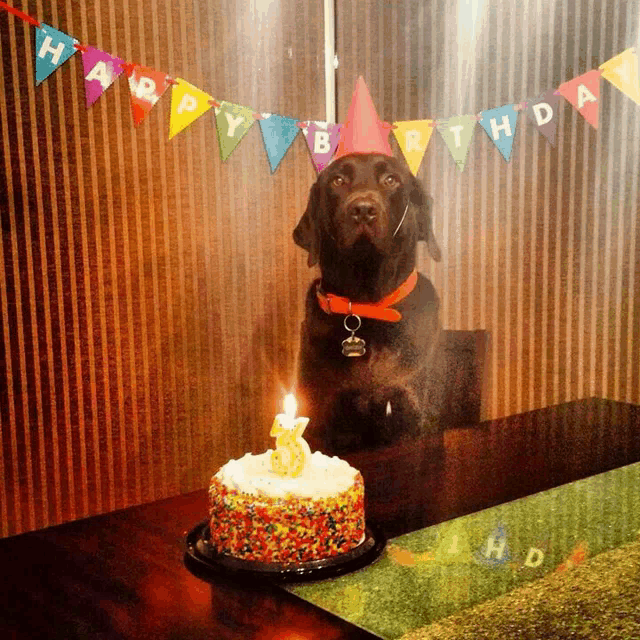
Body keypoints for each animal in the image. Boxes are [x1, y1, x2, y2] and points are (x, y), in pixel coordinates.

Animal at [292, 154, 442, 456]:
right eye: (338, 180)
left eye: (390, 179)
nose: (363, 209)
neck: (366, 306)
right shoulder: (320, 418)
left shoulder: (412, 415)